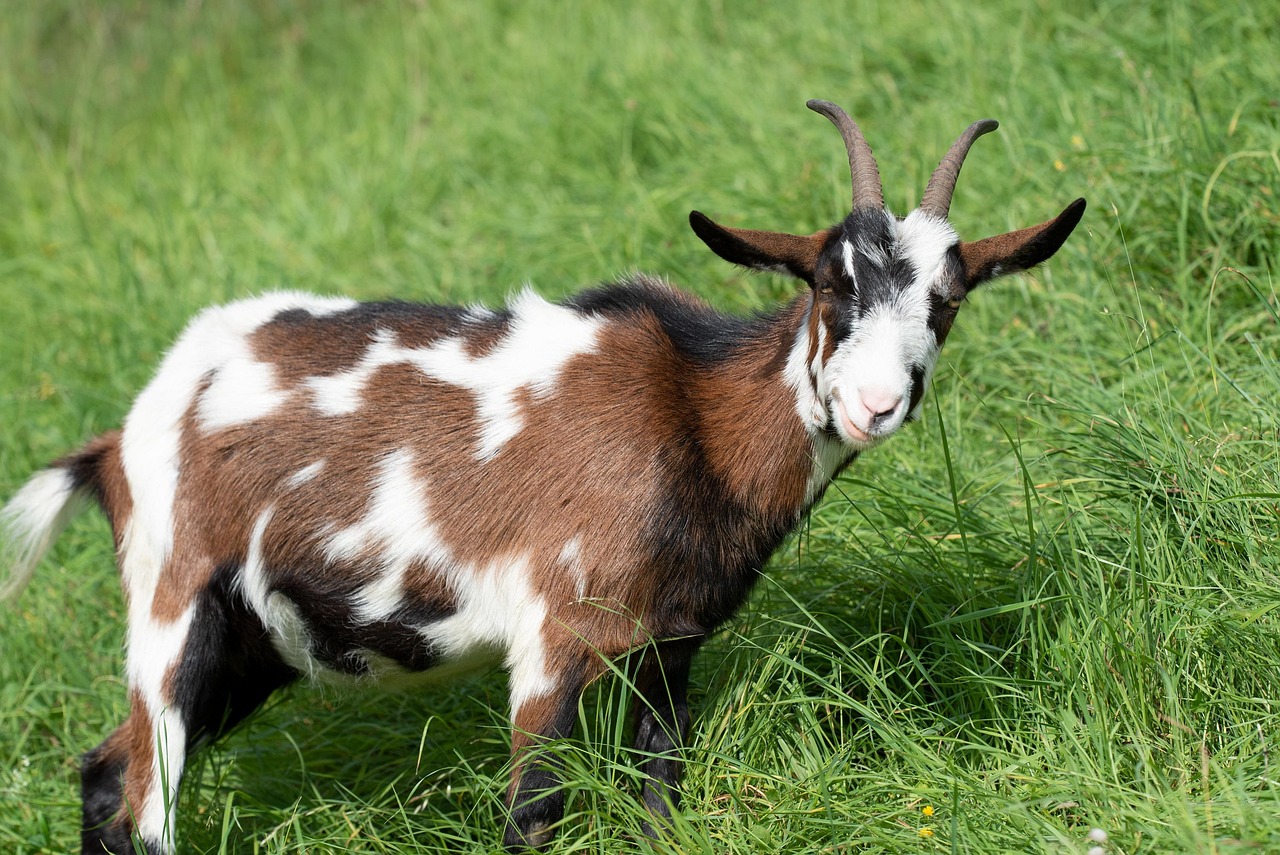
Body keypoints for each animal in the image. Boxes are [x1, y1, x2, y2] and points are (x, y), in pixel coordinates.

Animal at [0, 100, 1085, 853]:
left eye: (947, 298)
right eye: (827, 282)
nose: (875, 404)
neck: (689, 411)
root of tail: (122, 435)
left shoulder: (666, 649)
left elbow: (656, 803)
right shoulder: (554, 635)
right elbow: (532, 814)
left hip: (250, 641)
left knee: (104, 775)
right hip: (173, 603)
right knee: (144, 805)